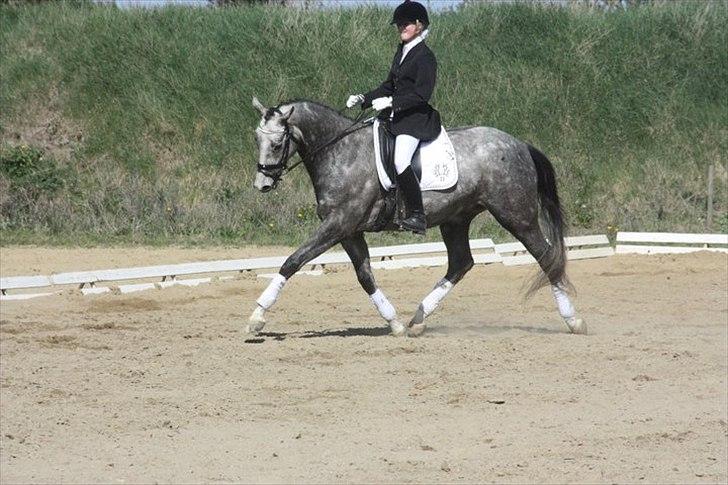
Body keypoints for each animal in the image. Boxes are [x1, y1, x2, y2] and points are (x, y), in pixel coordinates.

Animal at [247, 96, 584, 334]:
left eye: (277, 143)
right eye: (256, 139)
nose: (262, 184)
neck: (341, 152)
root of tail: (520, 144)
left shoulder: (339, 224)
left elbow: (293, 261)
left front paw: (257, 317)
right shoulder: (349, 230)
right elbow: (365, 275)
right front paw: (394, 322)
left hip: (516, 215)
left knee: (546, 256)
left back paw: (573, 320)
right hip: (456, 219)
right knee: (461, 263)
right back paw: (418, 319)